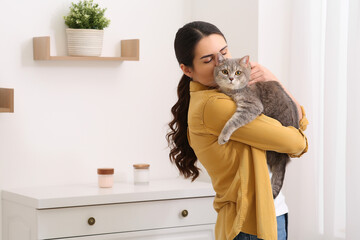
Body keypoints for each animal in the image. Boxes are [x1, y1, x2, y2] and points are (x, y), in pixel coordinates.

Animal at [212, 53, 300, 199]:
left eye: (238, 72)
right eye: (225, 71)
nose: (231, 78)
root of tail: (284, 159)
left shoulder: (252, 105)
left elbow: (232, 121)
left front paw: (223, 136)